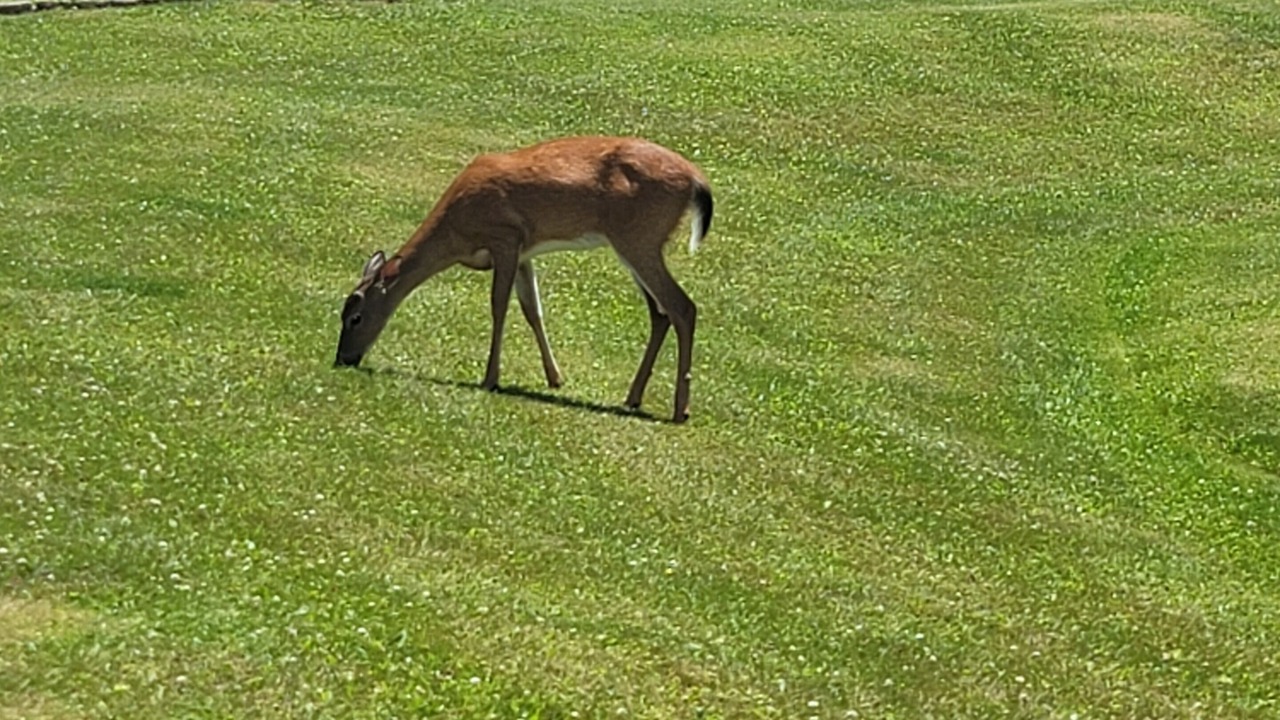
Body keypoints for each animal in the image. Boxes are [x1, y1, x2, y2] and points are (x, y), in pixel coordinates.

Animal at [334, 135, 714, 424]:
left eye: (356, 317)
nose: (343, 359)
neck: (456, 232)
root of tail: (697, 180)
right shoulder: (524, 254)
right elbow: (533, 310)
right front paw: (555, 377)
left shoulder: (505, 237)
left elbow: (499, 306)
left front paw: (490, 378)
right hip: (637, 243)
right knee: (660, 313)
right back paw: (633, 397)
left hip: (639, 238)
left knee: (682, 307)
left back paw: (680, 410)